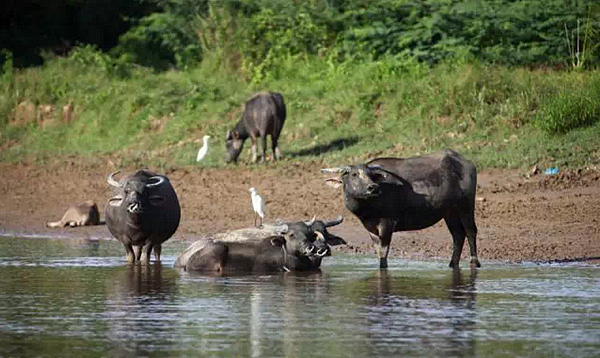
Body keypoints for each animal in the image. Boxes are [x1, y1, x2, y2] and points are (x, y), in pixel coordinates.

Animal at [324, 148, 478, 268]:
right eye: (354, 174)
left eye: (371, 175)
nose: (373, 187)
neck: (369, 207)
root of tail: (467, 164)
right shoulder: (370, 228)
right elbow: (378, 251)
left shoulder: (388, 223)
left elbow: (383, 252)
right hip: (450, 211)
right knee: (458, 234)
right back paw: (452, 263)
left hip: (466, 205)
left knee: (470, 231)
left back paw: (474, 262)